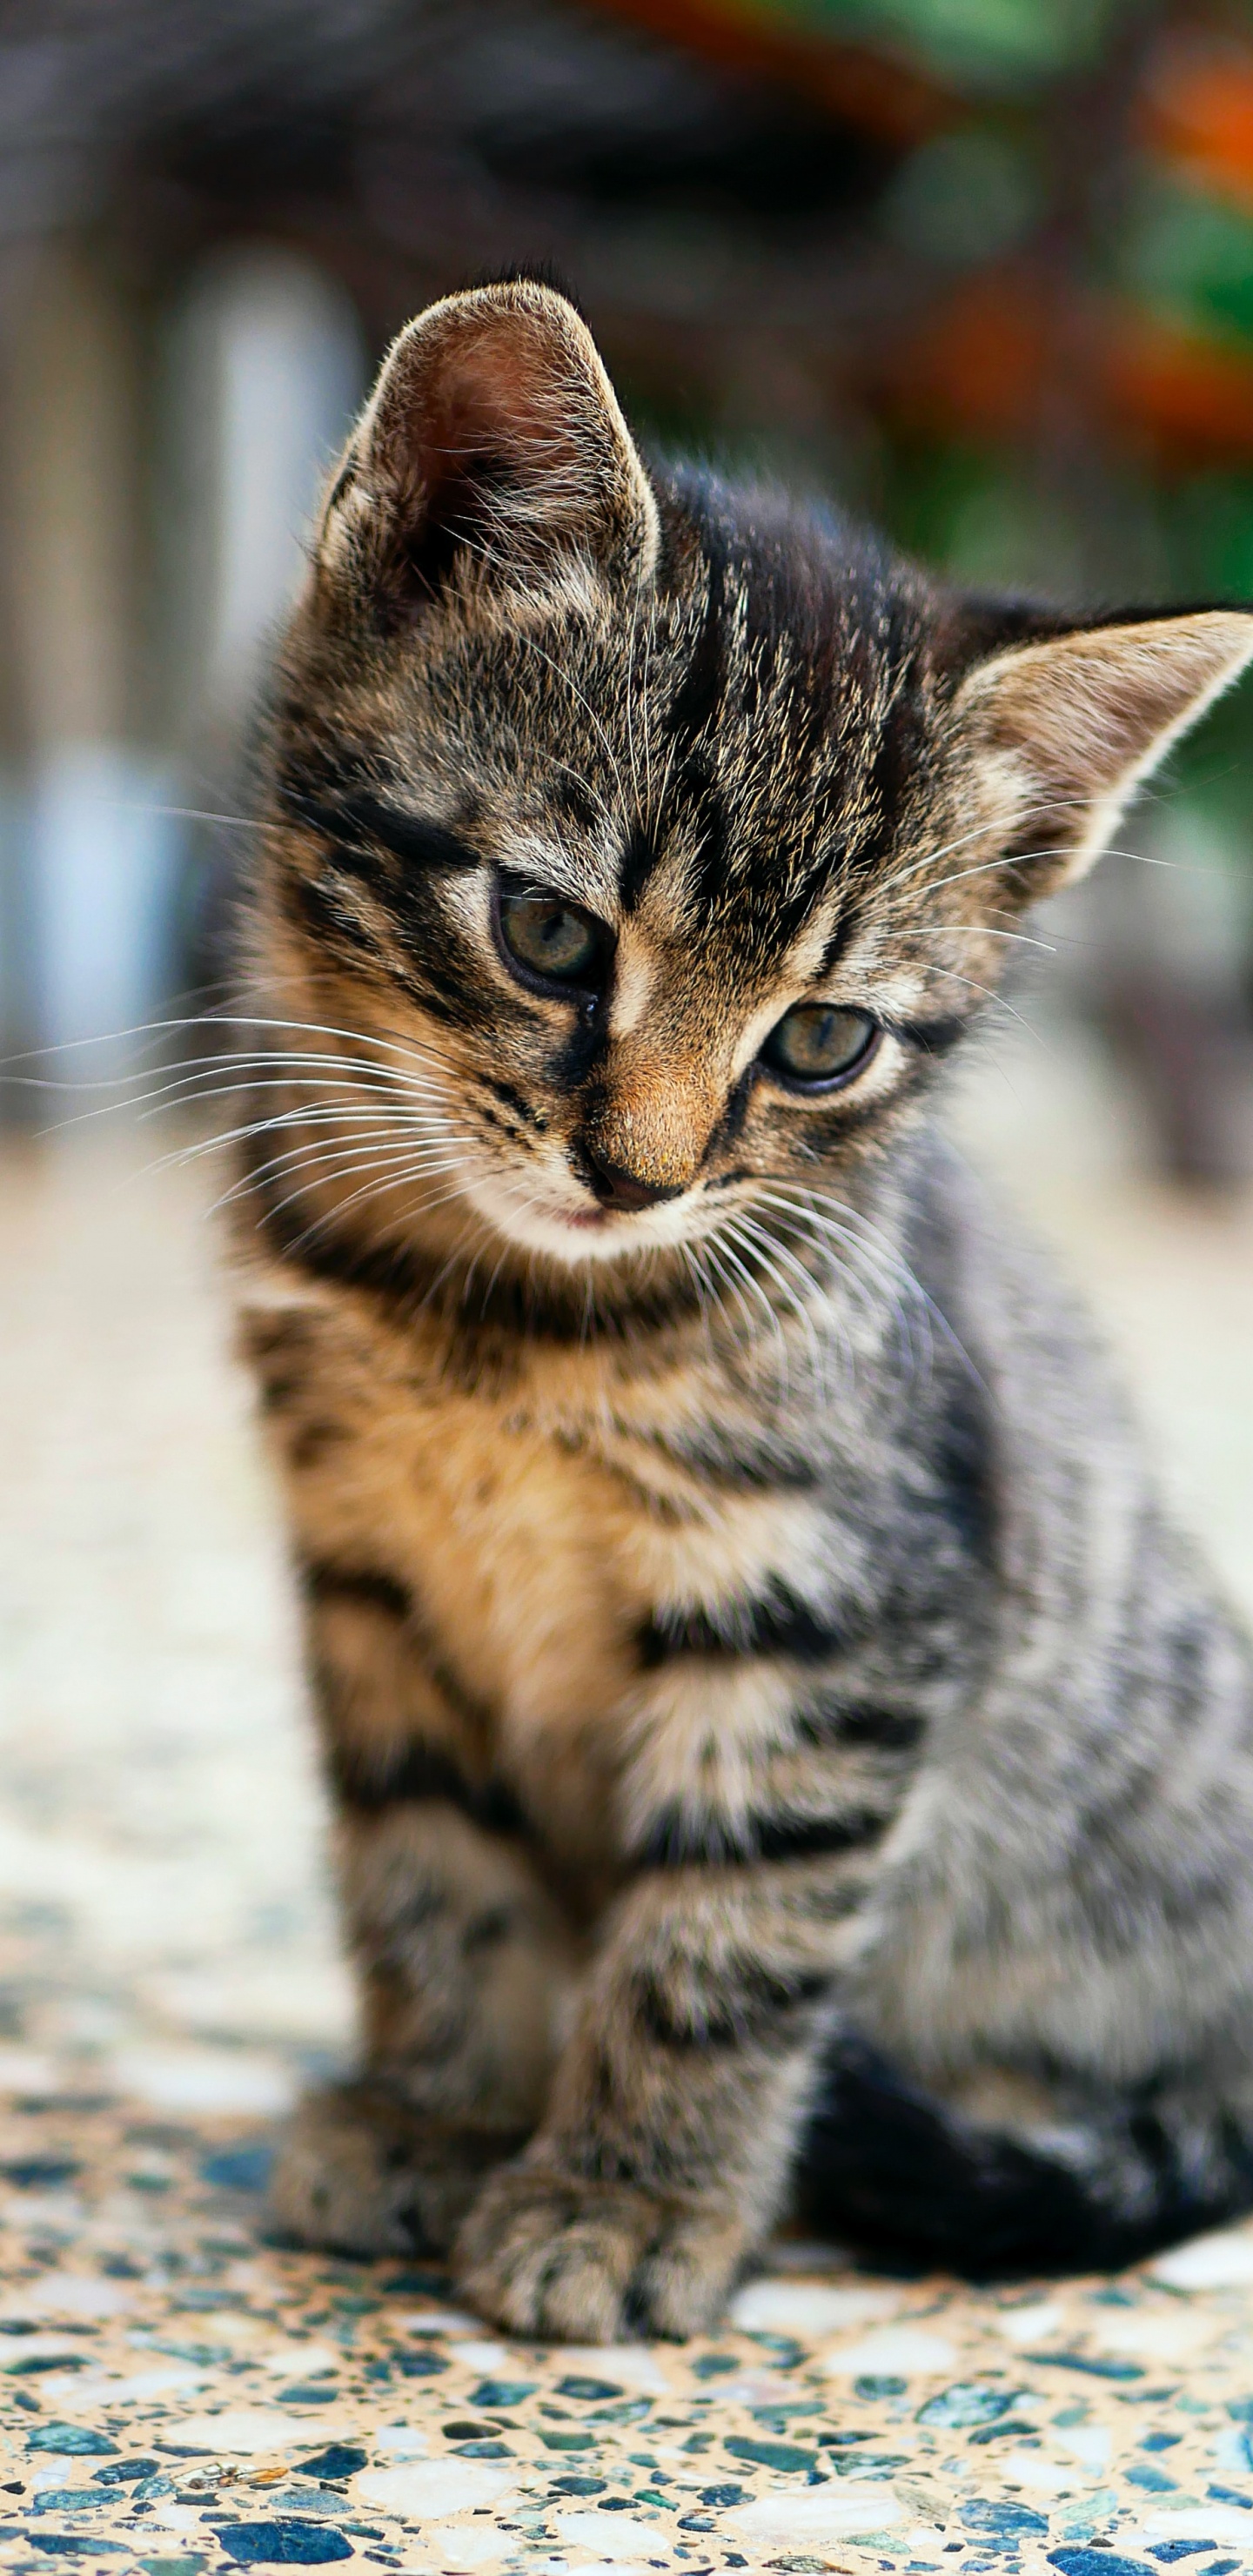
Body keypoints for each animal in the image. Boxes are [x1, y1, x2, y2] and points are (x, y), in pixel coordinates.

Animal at [237, 282, 1253, 2338]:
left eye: (822, 1042)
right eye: (550, 934)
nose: (636, 1177)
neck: (506, 1320)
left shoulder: (843, 1604)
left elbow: (724, 1930)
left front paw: (627, 2199)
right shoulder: (372, 1581)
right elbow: (426, 1867)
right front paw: (438, 2107)